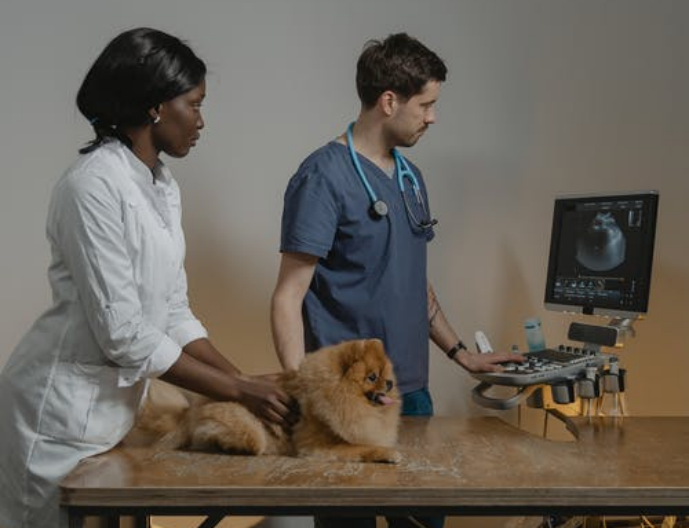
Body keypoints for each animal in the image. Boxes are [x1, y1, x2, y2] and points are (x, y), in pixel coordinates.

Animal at [127, 340, 404, 464]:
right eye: (372, 377)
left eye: (387, 373)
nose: (390, 383)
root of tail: (189, 413)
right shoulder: (317, 446)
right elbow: (360, 447)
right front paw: (387, 453)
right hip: (247, 428)